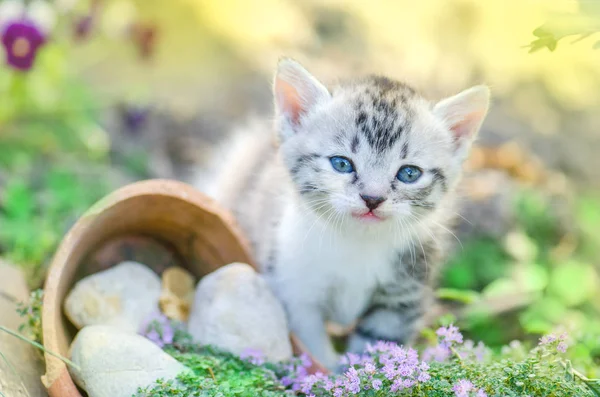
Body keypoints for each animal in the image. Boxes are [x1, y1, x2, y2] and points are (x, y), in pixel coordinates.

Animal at [195, 58, 490, 368]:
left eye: (409, 173)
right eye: (341, 163)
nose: (373, 198)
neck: (357, 242)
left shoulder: (402, 295)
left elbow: (379, 343)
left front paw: (370, 371)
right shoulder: (293, 284)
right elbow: (311, 343)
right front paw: (330, 371)